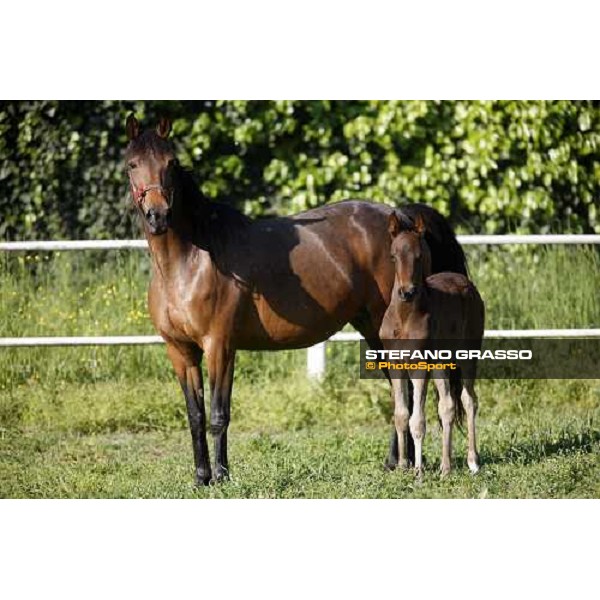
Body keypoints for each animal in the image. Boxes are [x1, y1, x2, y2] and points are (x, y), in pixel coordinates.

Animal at [123, 115, 468, 486]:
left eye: (171, 163)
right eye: (132, 164)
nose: (158, 216)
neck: (190, 261)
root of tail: (402, 219)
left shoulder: (220, 346)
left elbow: (218, 414)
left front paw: (221, 476)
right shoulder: (180, 351)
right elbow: (195, 415)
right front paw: (201, 477)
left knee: (403, 389)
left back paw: (401, 462)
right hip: (372, 327)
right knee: (397, 388)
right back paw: (395, 462)